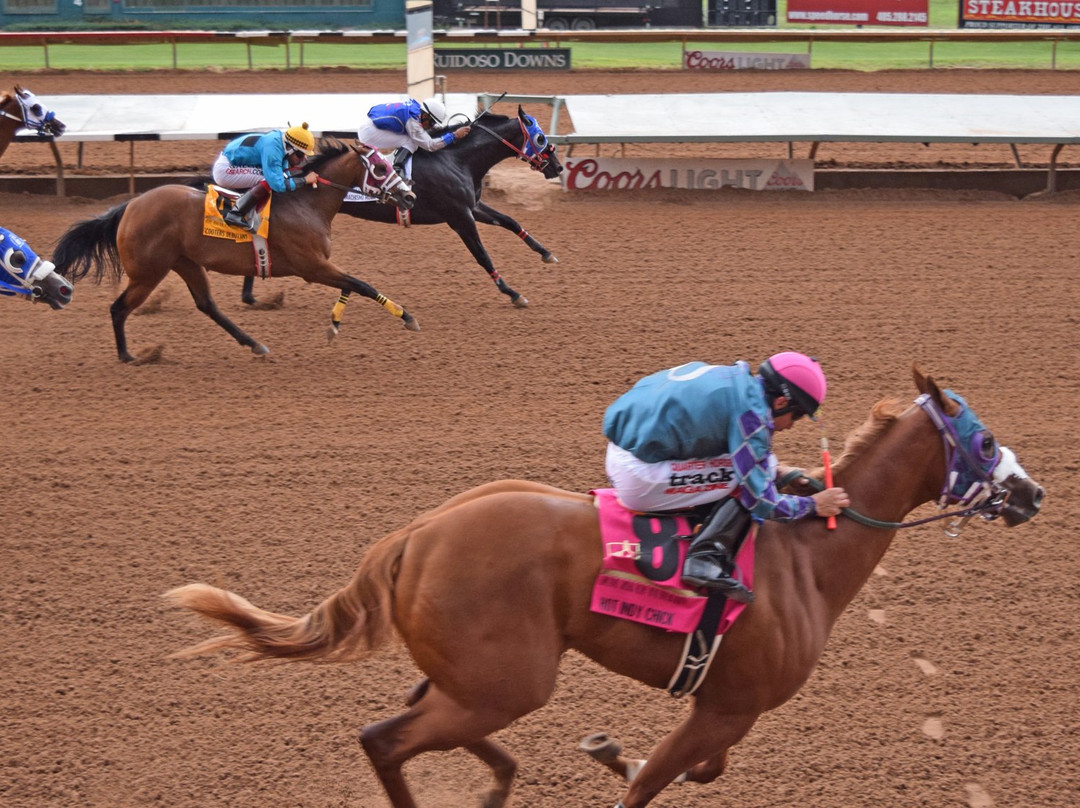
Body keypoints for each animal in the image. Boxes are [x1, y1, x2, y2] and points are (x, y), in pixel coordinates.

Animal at [53, 141, 416, 362]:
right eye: (380, 168)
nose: (409, 196)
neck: (305, 202)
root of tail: (129, 207)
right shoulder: (312, 267)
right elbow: (361, 284)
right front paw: (407, 317)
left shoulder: (319, 266)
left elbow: (351, 286)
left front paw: (335, 325)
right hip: (148, 273)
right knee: (118, 308)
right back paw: (128, 356)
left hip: (186, 263)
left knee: (207, 305)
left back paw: (254, 343)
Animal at [164, 367, 1041, 808]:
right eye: (985, 439)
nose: (1031, 493)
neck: (807, 560)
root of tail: (417, 533)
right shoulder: (730, 703)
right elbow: (657, 781)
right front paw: (623, 759)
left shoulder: (726, 706)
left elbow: (694, 771)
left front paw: (611, 749)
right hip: (508, 680)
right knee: (386, 738)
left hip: (479, 679)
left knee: (426, 722)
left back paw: (497, 787)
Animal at [240, 106, 565, 334]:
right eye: (540, 138)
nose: (558, 167)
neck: (457, 159)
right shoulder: (459, 216)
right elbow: (483, 256)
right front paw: (513, 293)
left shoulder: (473, 207)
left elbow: (510, 221)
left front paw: (546, 253)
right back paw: (254, 292)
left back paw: (254, 294)